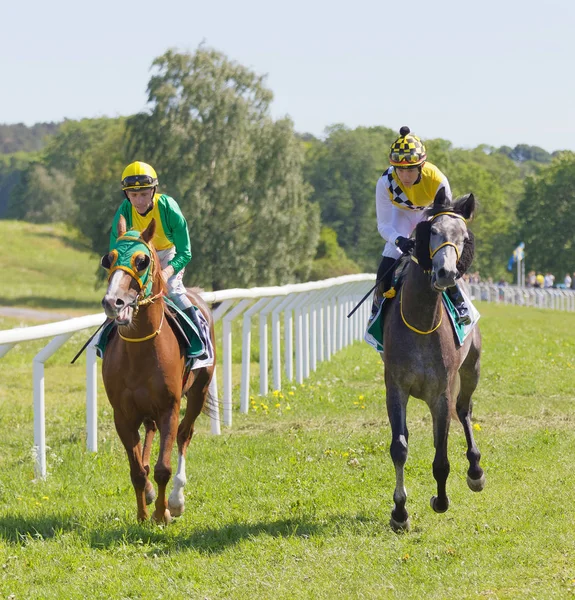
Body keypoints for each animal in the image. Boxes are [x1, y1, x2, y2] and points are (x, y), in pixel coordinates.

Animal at [100, 216, 215, 520]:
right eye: (108, 259)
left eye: (142, 261)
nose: (113, 302)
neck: (140, 353)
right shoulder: (122, 414)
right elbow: (137, 471)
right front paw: (143, 514)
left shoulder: (169, 408)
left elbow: (164, 467)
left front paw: (162, 514)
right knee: (149, 435)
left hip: (199, 391)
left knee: (185, 435)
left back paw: (176, 500)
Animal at [382, 191, 486, 528]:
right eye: (435, 232)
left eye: (464, 237)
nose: (447, 273)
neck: (421, 319)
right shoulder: (396, 388)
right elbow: (399, 447)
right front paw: (400, 512)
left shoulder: (440, 393)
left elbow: (441, 458)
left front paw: (440, 501)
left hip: (471, 369)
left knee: (464, 410)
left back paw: (475, 471)